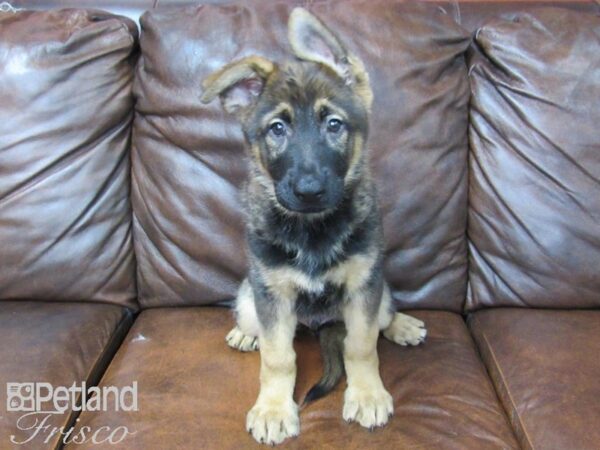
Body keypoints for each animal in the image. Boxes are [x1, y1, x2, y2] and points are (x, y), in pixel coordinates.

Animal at [202, 7, 426, 446]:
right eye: (277, 128)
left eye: (334, 124)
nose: (308, 191)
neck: (312, 229)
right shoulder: (272, 294)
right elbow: (278, 357)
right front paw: (273, 409)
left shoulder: (363, 286)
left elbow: (361, 346)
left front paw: (367, 394)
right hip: (249, 297)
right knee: (255, 324)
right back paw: (245, 333)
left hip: (379, 291)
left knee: (384, 317)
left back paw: (403, 325)